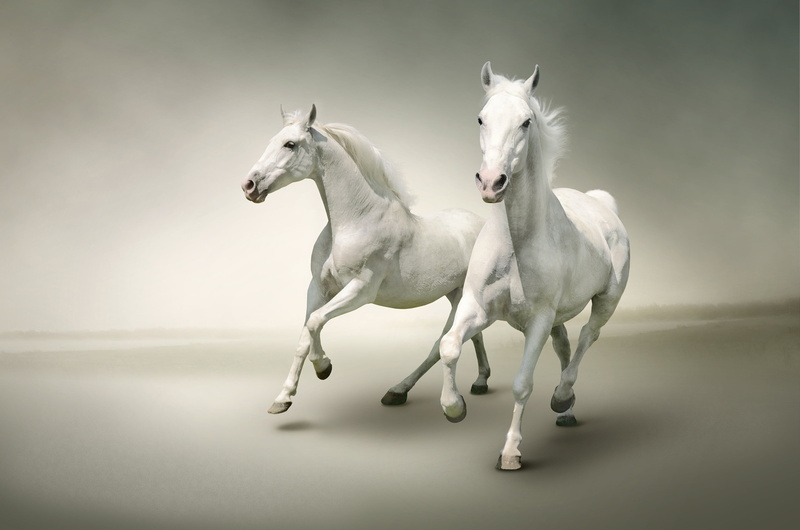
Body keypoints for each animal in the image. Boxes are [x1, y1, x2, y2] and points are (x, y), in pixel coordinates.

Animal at [241, 105, 492, 414]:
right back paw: (479, 382)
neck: (356, 220)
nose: (249, 185)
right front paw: (283, 398)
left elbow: (315, 322)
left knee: (441, 344)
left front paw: (323, 367)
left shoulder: (361, 290)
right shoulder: (318, 288)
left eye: (290, 144)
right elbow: (304, 335)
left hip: (461, 298)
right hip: (455, 294)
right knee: (473, 335)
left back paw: (402, 391)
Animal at [438, 63, 630, 470]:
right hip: (559, 317)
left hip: (607, 300)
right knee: (565, 345)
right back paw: (566, 411)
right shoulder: (477, 308)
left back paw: (562, 397)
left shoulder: (538, 321)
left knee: (588, 336)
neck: (516, 243)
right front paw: (454, 407)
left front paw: (511, 453)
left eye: (526, 122)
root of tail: (601, 203)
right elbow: (448, 346)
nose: (491, 182)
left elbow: (522, 384)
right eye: (481, 118)